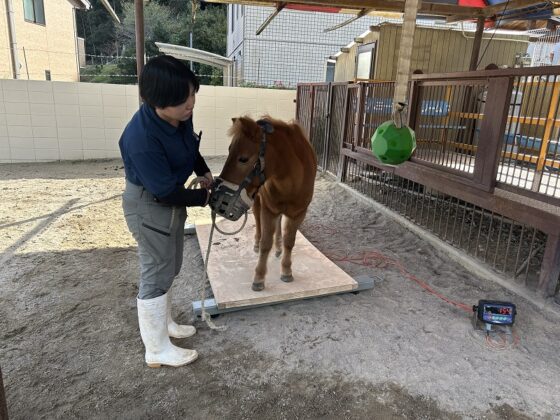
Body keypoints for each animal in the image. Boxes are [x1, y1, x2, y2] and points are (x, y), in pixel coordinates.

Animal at [218, 115, 316, 292]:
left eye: (243, 159)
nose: (218, 192)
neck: (290, 179)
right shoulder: (268, 210)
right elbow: (265, 243)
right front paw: (259, 278)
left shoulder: (298, 213)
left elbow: (289, 241)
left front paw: (286, 271)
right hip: (257, 200)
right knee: (258, 221)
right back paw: (258, 244)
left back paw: (278, 247)